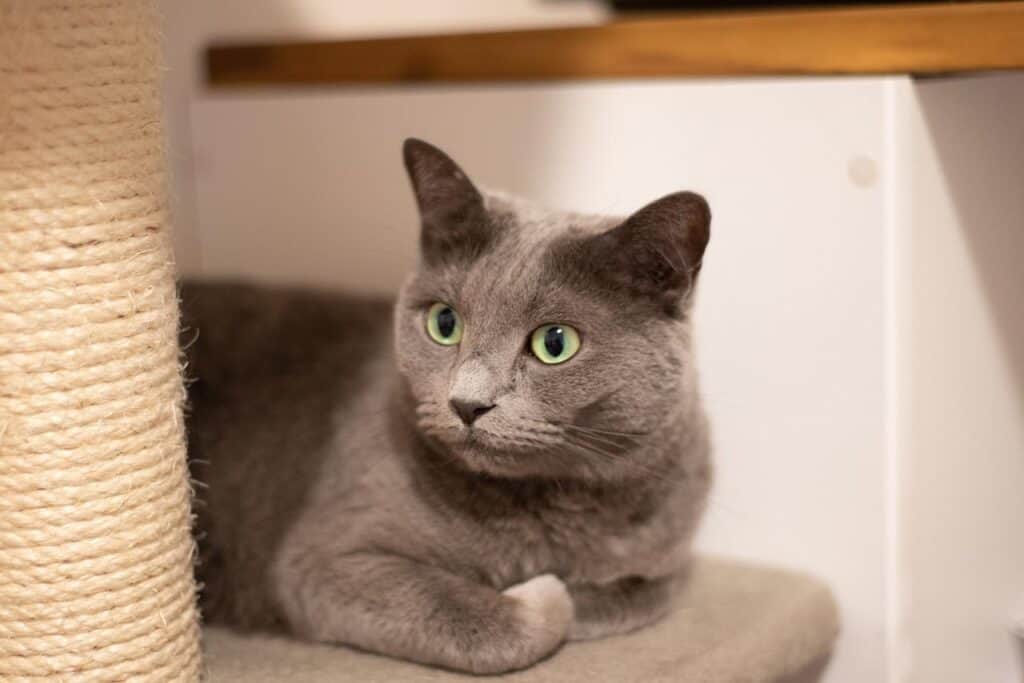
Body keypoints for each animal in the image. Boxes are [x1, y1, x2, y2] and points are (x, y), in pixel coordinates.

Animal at [182, 137, 712, 671]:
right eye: (444, 323)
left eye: (555, 343)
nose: (467, 403)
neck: (538, 504)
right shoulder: (324, 559)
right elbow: (478, 615)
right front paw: (541, 593)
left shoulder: (668, 556)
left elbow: (639, 594)